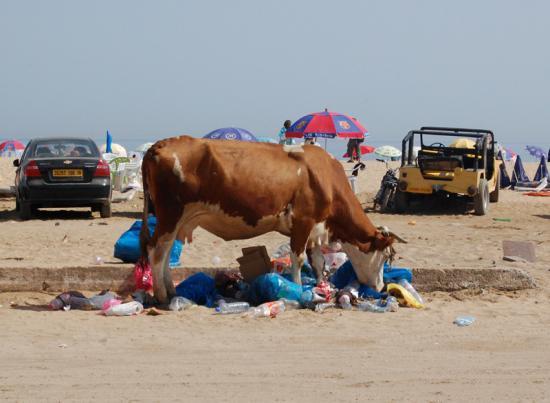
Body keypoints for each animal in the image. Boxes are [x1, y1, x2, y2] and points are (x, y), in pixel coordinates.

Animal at [138, 137, 406, 304]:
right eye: (385, 257)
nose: (380, 287)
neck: (325, 176)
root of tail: (159, 145)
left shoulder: (315, 227)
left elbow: (318, 262)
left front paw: (321, 286)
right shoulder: (303, 221)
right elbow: (298, 259)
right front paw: (298, 290)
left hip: (175, 220)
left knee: (165, 252)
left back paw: (172, 290)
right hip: (170, 214)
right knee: (156, 251)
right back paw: (162, 296)